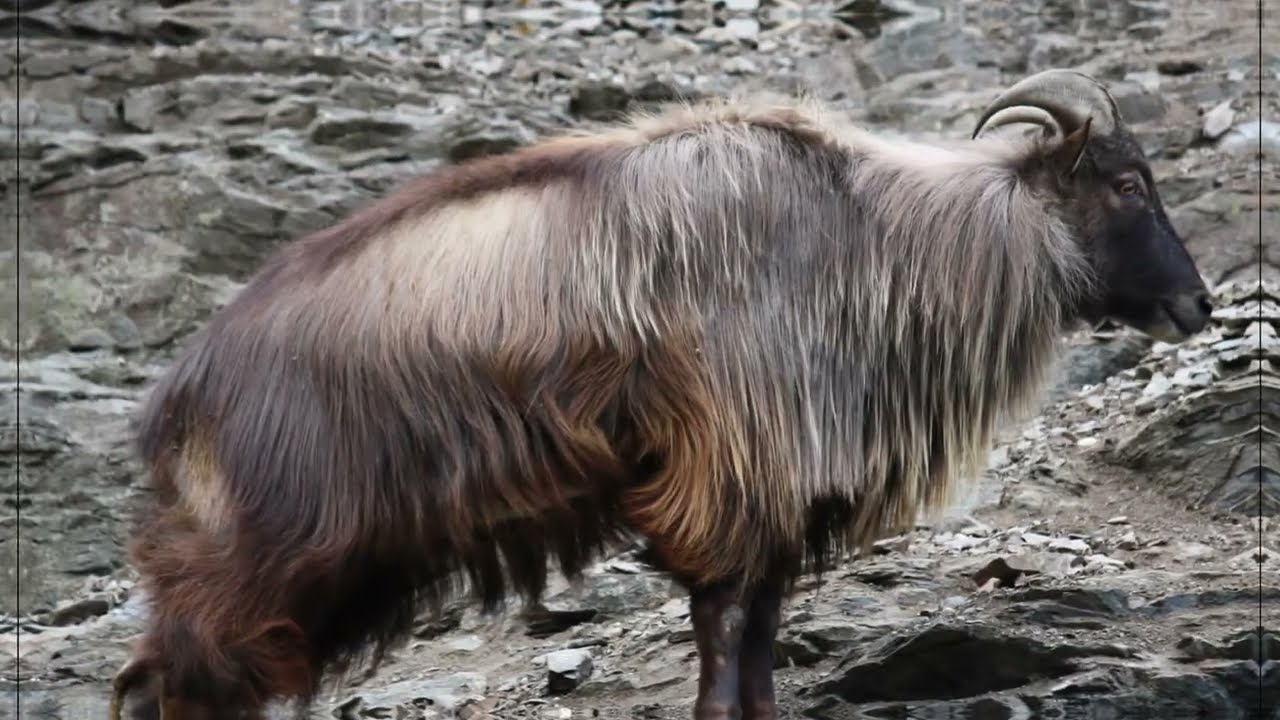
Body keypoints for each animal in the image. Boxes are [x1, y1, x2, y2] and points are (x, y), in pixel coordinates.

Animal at [110, 69, 1211, 720]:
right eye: (1126, 185)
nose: (1196, 304)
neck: (868, 236)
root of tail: (181, 391)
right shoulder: (727, 477)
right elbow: (722, 624)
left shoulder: (774, 503)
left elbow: (758, 631)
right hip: (256, 550)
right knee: (176, 674)